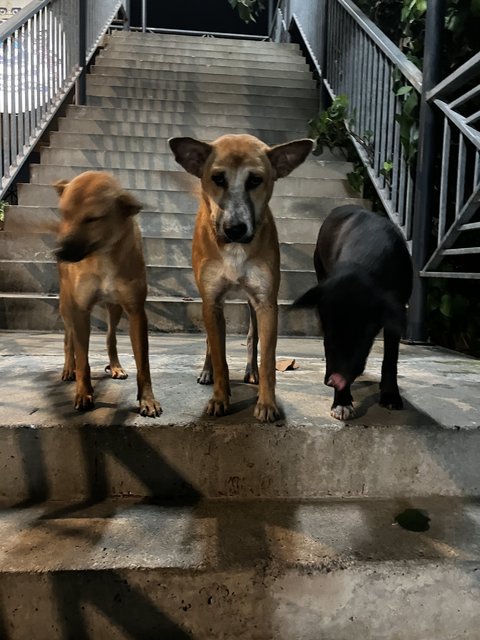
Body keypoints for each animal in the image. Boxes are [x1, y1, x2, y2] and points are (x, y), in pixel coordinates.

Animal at [53, 169, 160, 416]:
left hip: (115, 308)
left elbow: (143, 364)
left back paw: (116, 367)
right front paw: (83, 393)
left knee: (111, 337)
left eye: (92, 219)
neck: (102, 255)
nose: (58, 252)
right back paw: (68, 368)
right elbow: (83, 359)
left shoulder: (136, 312)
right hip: (67, 305)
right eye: (63, 214)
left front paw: (147, 400)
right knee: (68, 338)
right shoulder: (80, 311)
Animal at [170, 133, 316, 422]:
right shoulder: (212, 302)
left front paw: (267, 403)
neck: (235, 250)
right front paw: (219, 398)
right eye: (217, 178)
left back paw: (251, 371)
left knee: (252, 337)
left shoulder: (266, 303)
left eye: (255, 180)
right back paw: (206, 371)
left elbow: (268, 359)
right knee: (209, 342)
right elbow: (219, 355)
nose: (235, 229)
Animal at [292, 205, 412, 420]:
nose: (335, 381)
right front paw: (342, 403)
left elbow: (391, 358)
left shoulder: (395, 313)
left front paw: (390, 396)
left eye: (361, 338)